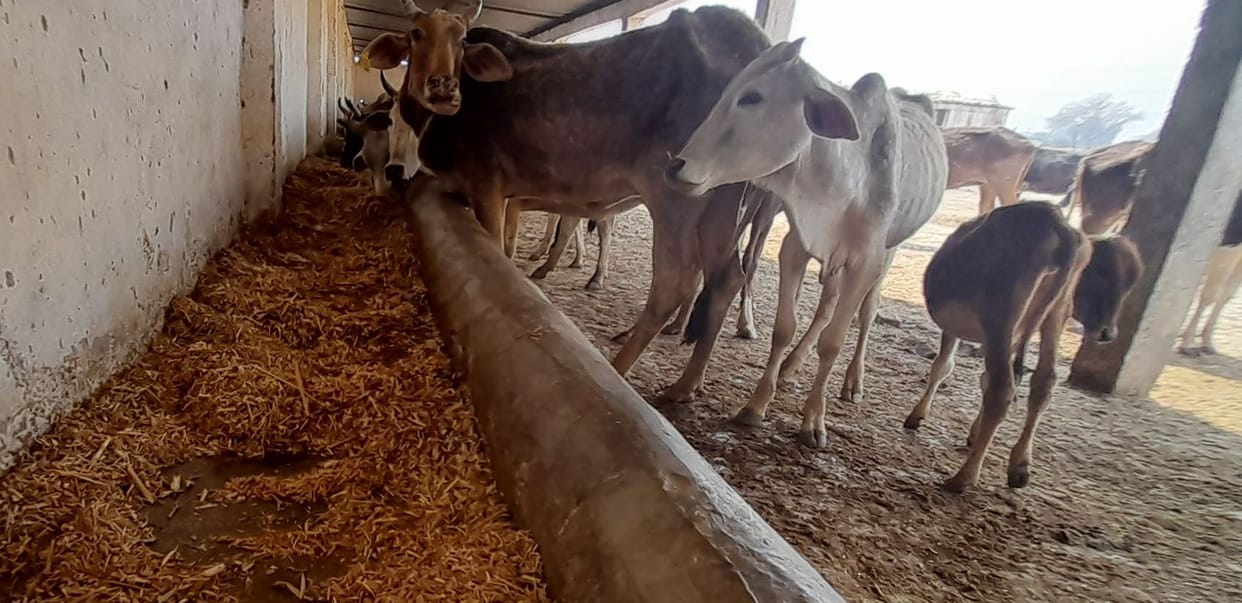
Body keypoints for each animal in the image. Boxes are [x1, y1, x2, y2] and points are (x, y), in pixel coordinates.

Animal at [367, 6, 773, 402]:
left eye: (462, 39)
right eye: (415, 34)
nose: (443, 88)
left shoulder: (488, 186)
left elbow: (497, 248)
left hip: (676, 195)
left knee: (676, 282)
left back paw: (620, 368)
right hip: (722, 202)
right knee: (726, 279)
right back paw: (686, 385)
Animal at [665, 39, 949, 446]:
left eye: (753, 97)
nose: (677, 165)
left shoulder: (865, 261)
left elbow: (834, 340)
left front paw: (814, 421)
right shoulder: (795, 248)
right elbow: (786, 326)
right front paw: (756, 405)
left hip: (889, 253)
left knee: (866, 312)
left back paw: (853, 382)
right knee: (826, 304)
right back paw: (791, 365)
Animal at [901, 202, 1142, 491]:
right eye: (1102, 278)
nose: (1109, 333)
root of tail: (1060, 227)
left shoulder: (961, 330)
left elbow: (943, 366)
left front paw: (917, 416)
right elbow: (979, 377)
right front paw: (974, 433)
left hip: (1001, 317)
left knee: (1002, 390)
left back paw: (964, 476)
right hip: (1053, 315)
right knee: (1042, 382)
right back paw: (1019, 466)